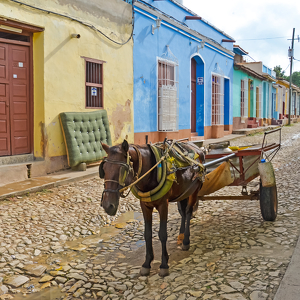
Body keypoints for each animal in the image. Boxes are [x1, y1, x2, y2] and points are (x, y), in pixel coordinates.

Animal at [99, 139, 205, 276]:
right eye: (104, 169)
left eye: (122, 169)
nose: (108, 205)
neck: (151, 174)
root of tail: (197, 148)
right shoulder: (145, 205)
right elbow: (147, 234)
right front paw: (147, 263)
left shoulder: (163, 205)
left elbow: (163, 234)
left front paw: (164, 265)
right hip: (183, 191)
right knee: (182, 212)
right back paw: (181, 235)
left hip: (194, 189)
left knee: (188, 212)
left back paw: (186, 240)